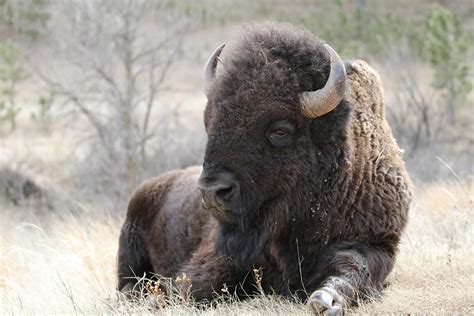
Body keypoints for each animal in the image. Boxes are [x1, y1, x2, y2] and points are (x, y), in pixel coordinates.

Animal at [116, 22, 412, 314]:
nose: (213, 191)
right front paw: (156, 298)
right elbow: (192, 286)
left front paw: (326, 300)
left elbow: (354, 267)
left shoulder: (376, 243)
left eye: (280, 130)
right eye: (209, 122)